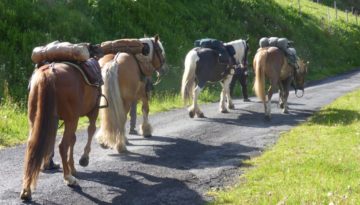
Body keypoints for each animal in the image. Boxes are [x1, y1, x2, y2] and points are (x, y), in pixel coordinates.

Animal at [20, 44, 103, 200]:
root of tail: (49, 72)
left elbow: (73, 140)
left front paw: (73, 167)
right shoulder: (92, 112)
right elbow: (90, 131)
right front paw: (83, 160)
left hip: (35, 120)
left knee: (31, 147)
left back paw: (26, 190)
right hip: (72, 119)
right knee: (62, 145)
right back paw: (68, 178)